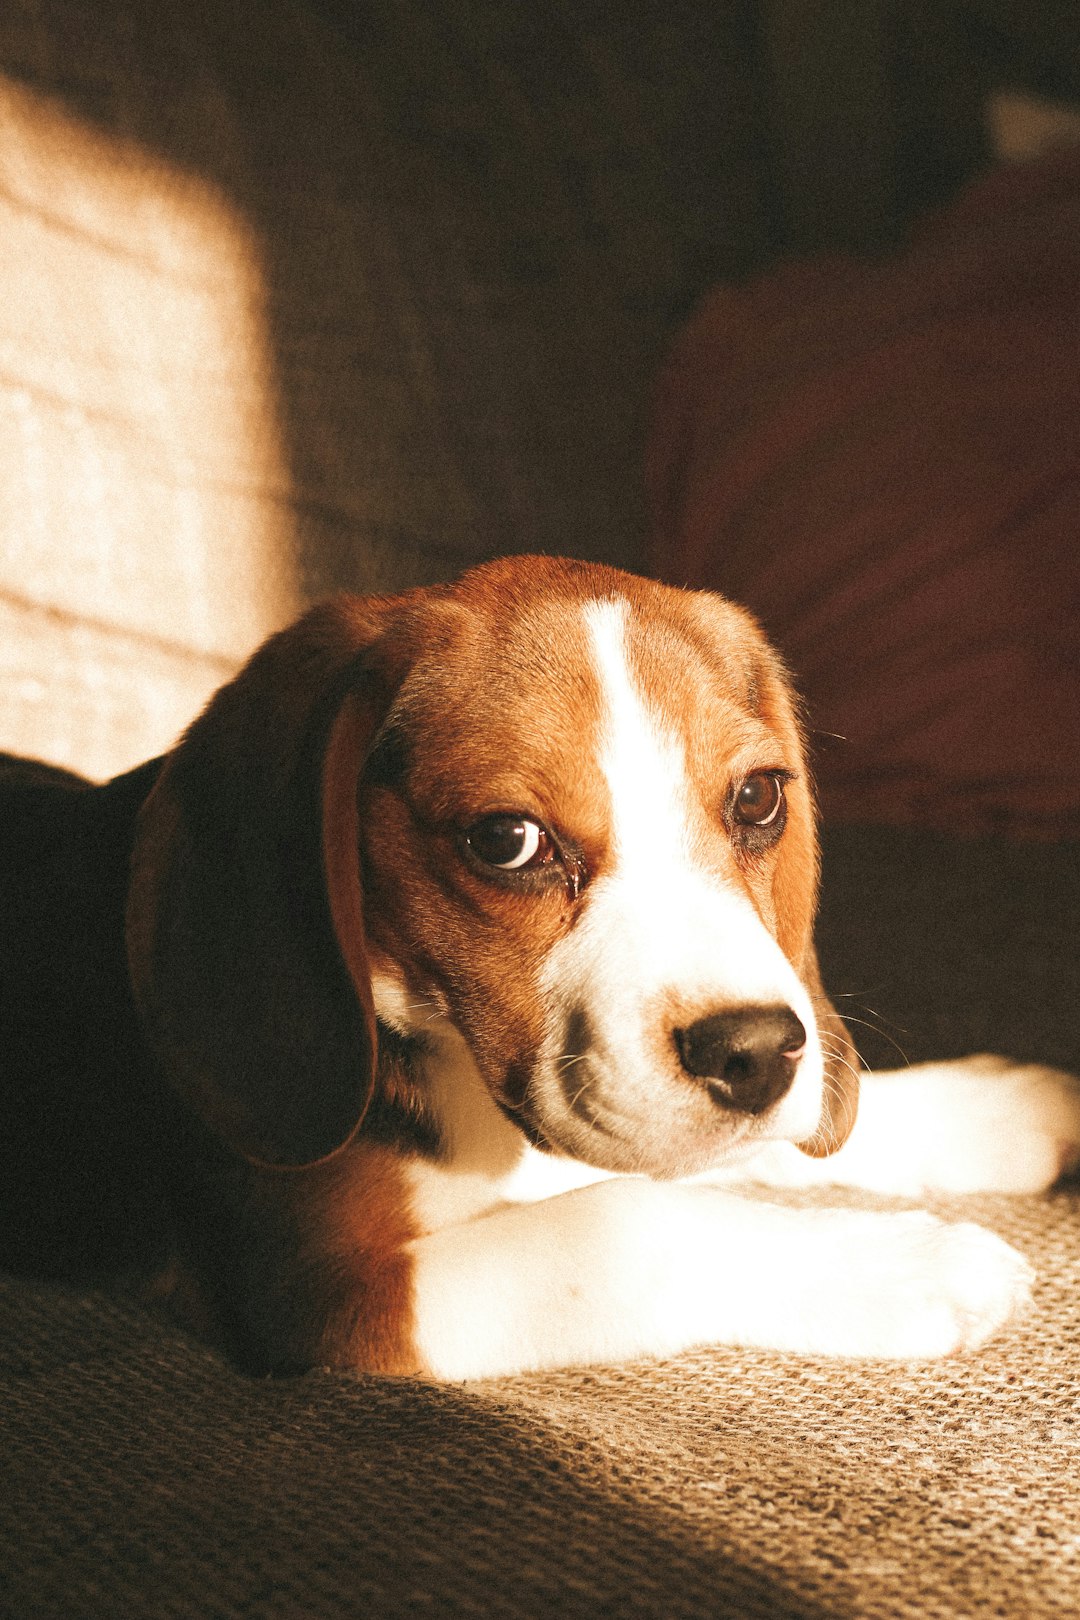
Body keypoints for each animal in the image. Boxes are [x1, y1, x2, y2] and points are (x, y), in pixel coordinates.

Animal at [2, 560, 1080, 1380]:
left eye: (759, 799)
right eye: (506, 841)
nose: (754, 1053)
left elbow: (783, 1135)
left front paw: (998, 1110)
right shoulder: (321, 1289)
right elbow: (628, 1225)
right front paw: (911, 1263)